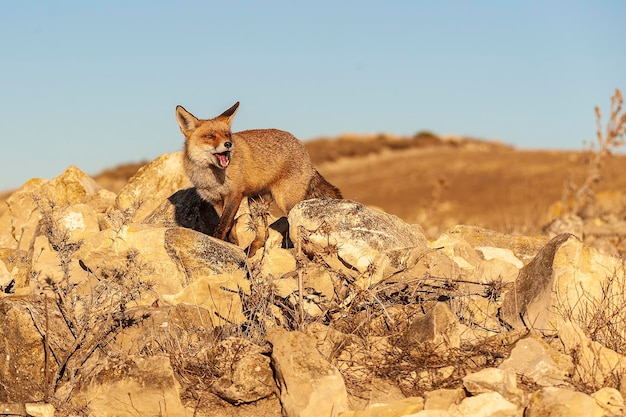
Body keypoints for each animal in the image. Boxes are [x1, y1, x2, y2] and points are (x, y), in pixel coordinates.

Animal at [174, 101, 342, 242]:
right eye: (210, 136)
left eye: (227, 135)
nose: (228, 144)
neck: (212, 176)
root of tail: (303, 148)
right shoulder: (215, 200)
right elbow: (227, 225)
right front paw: (230, 243)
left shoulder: (234, 194)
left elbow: (223, 224)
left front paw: (219, 241)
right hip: (257, 203)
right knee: (263, 230)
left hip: (286, 201)